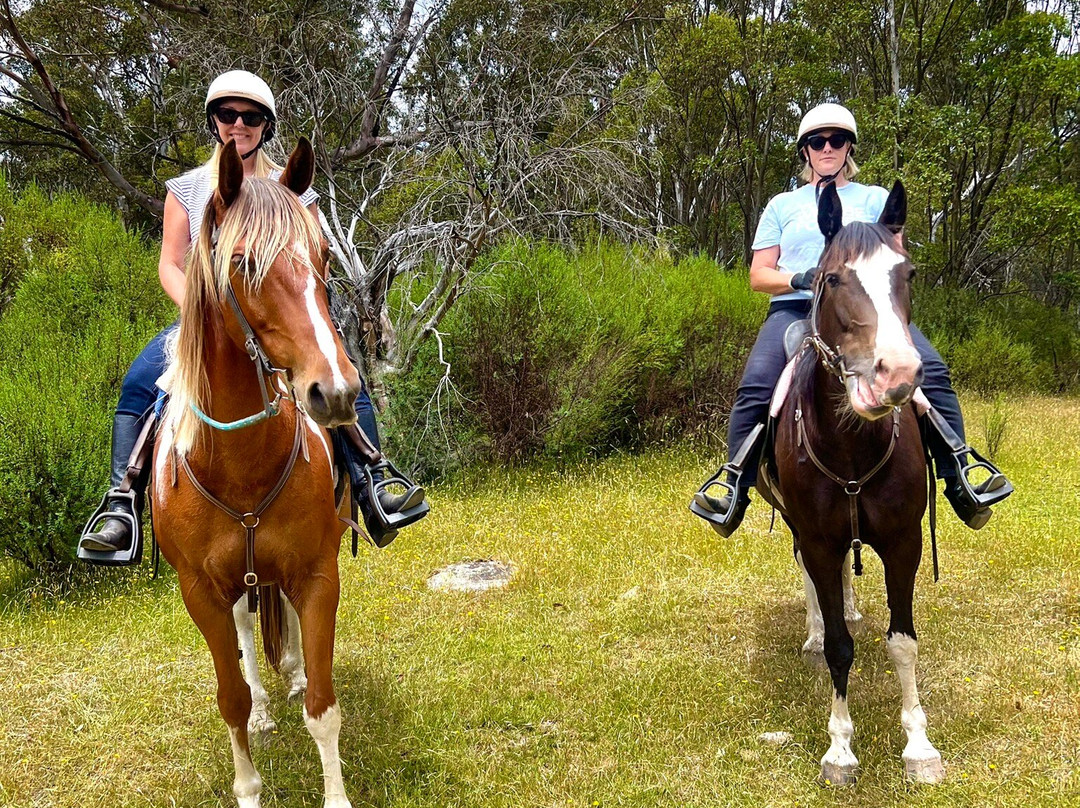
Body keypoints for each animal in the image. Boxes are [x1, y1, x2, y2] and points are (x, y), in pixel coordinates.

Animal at [152, 138, 361, 807]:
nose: (335, 392)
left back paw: (288, 678)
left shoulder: (317, 571)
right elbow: (232, 700)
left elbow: (323, 704)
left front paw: (335, 793)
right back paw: (270, 704)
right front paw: (248, 787)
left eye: (324, 255)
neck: (242, 465)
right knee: (246, 636)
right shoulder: (200, 594)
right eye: (241, 262)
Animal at [765, 181, 945, 786]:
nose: (895, 374)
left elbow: (903, 643)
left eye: (907, 273)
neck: (850, 445)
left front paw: (918, 744)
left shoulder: (903, 542)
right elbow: (841, 651)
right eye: (832, 279)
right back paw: (817, 629)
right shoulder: (819, 540)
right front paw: (840, 749)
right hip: (800, 531)